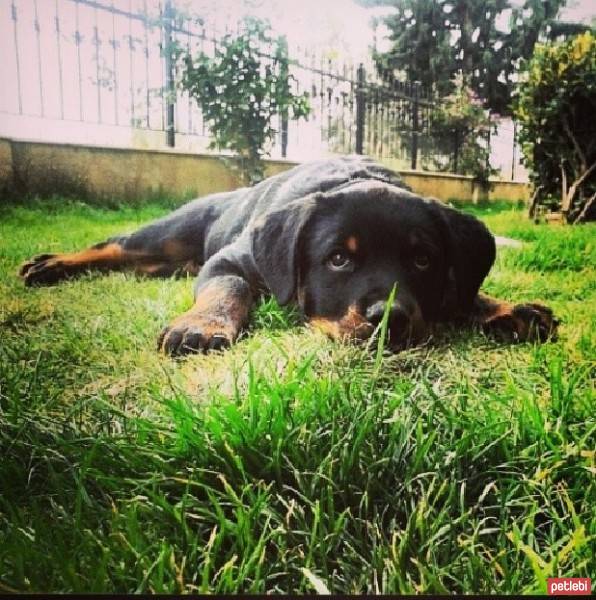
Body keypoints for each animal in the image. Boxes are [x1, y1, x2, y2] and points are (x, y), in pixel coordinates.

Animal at [19, 155, 560, 354]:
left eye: (423, 260)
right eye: (338, 259)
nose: (390, 318)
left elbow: (461, 291)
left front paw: (506, 308)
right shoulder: (230, 262)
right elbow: (230, 286)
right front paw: (204, 325)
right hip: (167, 235)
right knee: (110, 245)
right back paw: (47, 265)